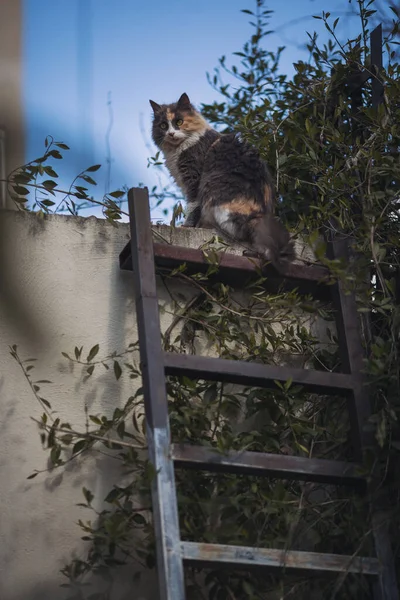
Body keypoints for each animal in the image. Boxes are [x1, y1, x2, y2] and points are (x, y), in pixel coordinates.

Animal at [150, 92, 294, 264]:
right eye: (163, 126)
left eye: (179, 122)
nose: (171, 133)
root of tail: (258, 215)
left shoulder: (194, 179)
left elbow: (192, 206)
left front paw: (187, 226)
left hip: (212, 188)